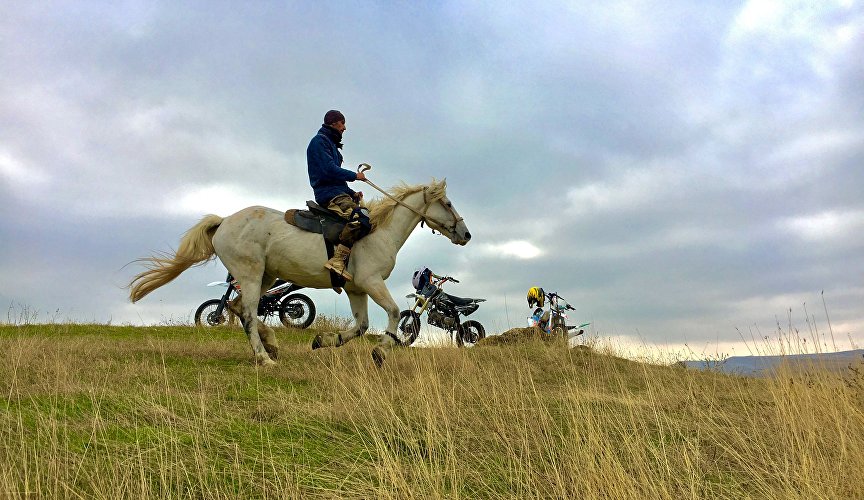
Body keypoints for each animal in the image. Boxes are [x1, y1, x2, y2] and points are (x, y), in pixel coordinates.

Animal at [126, 178, 472, 366]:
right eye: (448, 203)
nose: (466, 235)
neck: (378, 232)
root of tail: (224, 221)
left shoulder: (356, 289)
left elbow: (360, 326)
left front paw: (323, 340)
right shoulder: (371, 283)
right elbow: (394, 313)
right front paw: (380, 352)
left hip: (264, 276)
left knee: (237, 307)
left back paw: (272, 345)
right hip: (251, 274)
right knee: (247, 313)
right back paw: (264, 357)